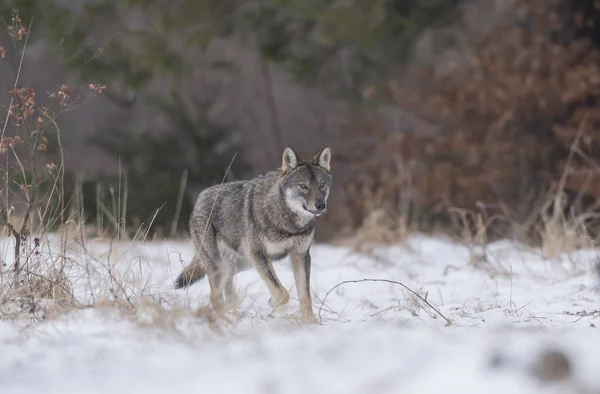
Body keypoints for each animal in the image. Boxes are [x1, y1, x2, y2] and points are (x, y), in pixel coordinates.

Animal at [173, 145, 332, 324]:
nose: (321, 205)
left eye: (322, 185)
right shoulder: (258, 254)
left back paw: (233, 315)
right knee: (215, 297)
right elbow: (282, 293)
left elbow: (305, 295)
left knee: (229, 292)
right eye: (303, 186)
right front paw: (272, 303)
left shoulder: (301, 255)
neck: (289, 224)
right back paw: (224, 321)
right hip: (221, 266)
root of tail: (199, 199)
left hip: (238, 266)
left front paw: (311, 322)